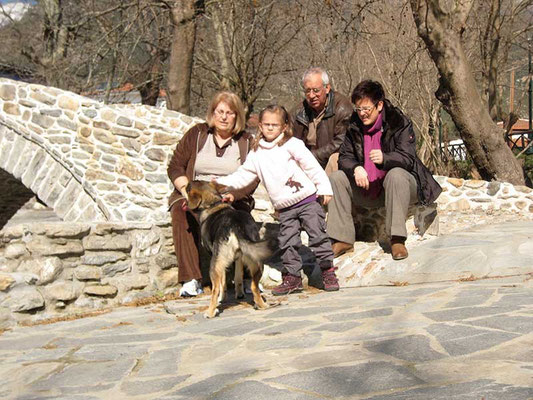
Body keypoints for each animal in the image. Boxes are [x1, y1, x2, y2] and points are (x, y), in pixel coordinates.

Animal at [185, 181, 272, 318]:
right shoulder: (238, 258)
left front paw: (222, 298)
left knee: (215, 289)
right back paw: (262, 305)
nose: (182, 186)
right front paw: (239, 294)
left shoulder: (218, 259)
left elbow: (223, 283)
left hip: (215, 264)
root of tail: (237, 225)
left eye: (188, 188)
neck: (213, 203)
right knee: (254, 286)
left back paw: (210, 312)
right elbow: (238, 277)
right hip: (257, 261)